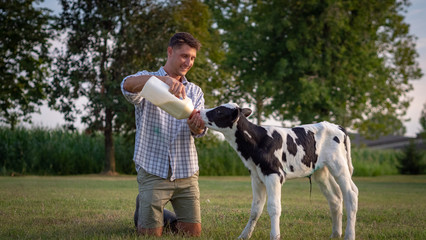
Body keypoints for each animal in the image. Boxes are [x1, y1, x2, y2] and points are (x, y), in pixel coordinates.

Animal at [201, 103, 360, 240]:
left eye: (219, 111)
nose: (200, 112)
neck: (256, 143)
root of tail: (338, 126)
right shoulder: (256, 177)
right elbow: (255, 209)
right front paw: (244, 236)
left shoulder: (274, 174)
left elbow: (274, 207)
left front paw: (275, 236)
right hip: (322, 171)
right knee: (335, 197)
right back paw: (335, 234)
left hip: (339, 166)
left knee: (351, 194)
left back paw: (349, 235)